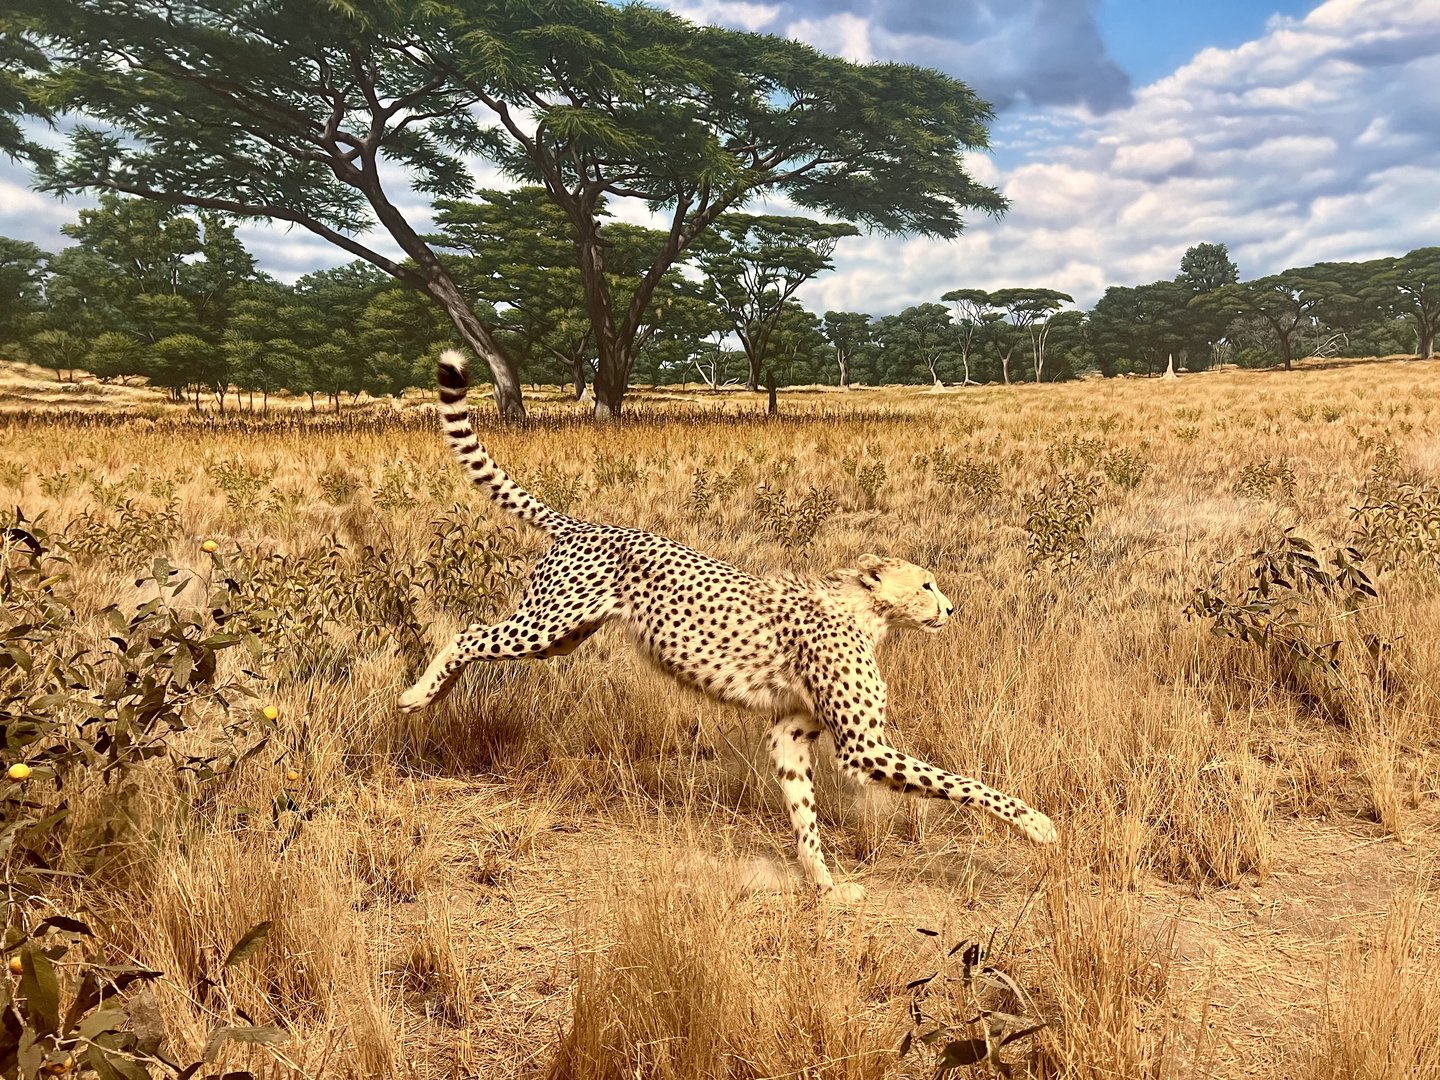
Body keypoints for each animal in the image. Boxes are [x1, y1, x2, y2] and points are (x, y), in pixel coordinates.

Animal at [398, 350, 1057, 900]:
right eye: (925, 584)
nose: (951, 609)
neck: (863, 612)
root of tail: (588, 525)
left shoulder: (790, 731)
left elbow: (804, 814)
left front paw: (824, 886)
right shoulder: (863, 748)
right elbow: (962, 782)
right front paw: (1036, 823)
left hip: (561, 637)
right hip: (547, 623)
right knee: (465, 634)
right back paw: (416, 695)